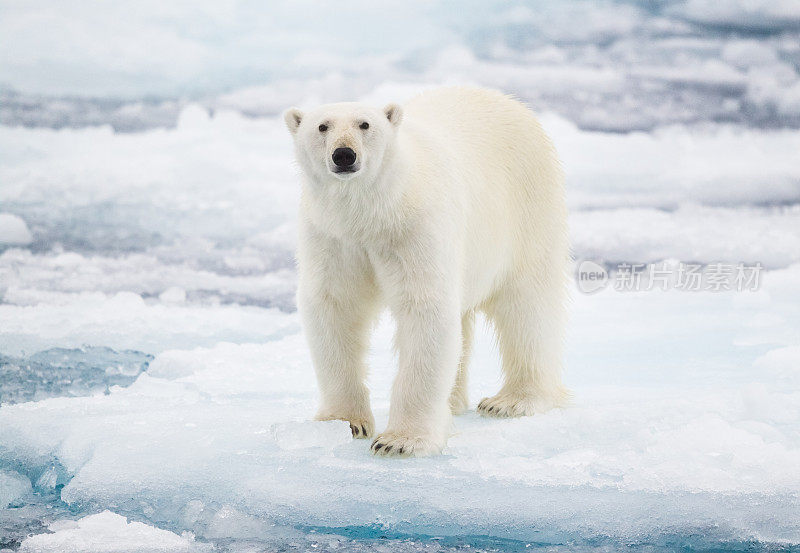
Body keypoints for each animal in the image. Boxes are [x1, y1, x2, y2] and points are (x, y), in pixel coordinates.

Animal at [282, 87, 568, 458]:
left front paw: (400, 441)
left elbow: (424, 309)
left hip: (527, 206)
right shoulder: (332, 236)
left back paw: (512, 401)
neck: (372, 212)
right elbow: (335, 306)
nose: (344, 155)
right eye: (322, 126)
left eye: (364, 124)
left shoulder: (415, 227)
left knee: (528, 306)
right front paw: (343, 422)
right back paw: (455, 401)